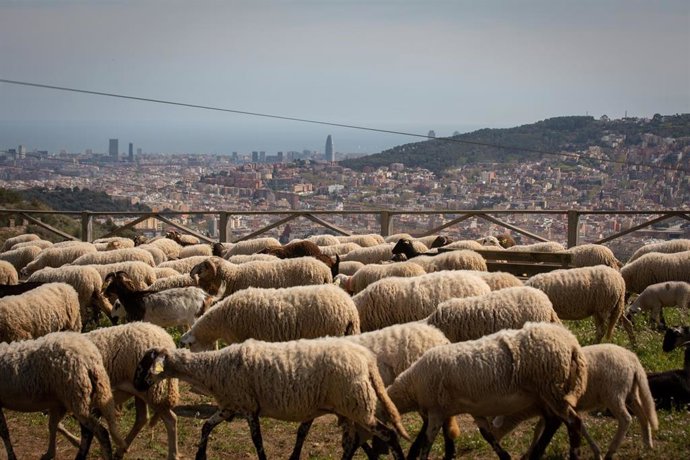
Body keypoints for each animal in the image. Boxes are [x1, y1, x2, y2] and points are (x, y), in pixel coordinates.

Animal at [0, 331, 126, 460]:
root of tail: (91, 358)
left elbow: (4, 431)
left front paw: (12, 456)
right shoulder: (57, 404)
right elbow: (53, 425)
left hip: (76, 398)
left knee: (100, 432)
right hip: (75, 398)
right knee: (82, 429)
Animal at [133, 338, 410, 460]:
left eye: (144, 364)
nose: (137, 385)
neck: (211, 369)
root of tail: (367, 359)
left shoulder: (248, 407)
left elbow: (257, 441)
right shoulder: (230, 406)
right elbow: (206, 427)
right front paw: (200, 456)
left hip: (357, 404)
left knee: (389, 434)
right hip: (351, 406)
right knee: (354, 441)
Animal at [385, 322, 588, 460]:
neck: (412, 384)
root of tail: (571, 342)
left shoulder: (436, 410)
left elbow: (427, 441)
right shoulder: (472, 409)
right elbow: (486, 435)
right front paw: (504, 456)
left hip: (552, 388)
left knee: (573, 421)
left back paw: (574, 454)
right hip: (545, 393)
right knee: (553, 421)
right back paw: (535, 455)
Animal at [492, 343, 658, 459]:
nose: (493, 445)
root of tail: (633, 359)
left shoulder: (554, 409)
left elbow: (539, 430)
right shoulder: (562, 410)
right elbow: (578, 427)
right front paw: (596, 452)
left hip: (614, 394)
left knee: (626, 419)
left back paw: (611, 451)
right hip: (630, 393)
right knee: (643, 415)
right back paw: (647, 445)